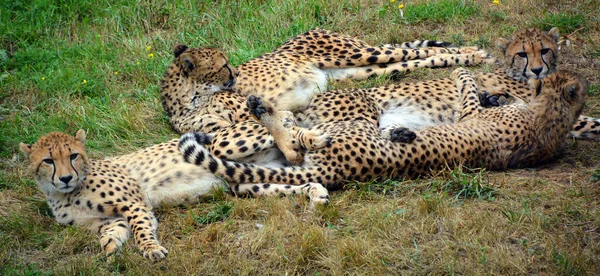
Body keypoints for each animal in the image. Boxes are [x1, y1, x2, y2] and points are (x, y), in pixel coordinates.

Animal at [19, 130, 328, 260]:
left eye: (72, 155)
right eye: (48, 161)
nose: (65, 177)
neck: (67, 194)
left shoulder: (134, 203)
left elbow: (141, 229)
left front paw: (151, 249)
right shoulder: (109, 219)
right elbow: (112, 235)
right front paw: (109, 250)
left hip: (226, 143)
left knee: (289, 127)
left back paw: (316, 138)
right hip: (248, 181)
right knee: (295, 181)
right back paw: (316, 193)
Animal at [179, 68, 592, 190]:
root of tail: (333, 172)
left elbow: (469, 82)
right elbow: (471, 84)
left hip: (350, 123)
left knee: (294, 140)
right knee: (289, 135)